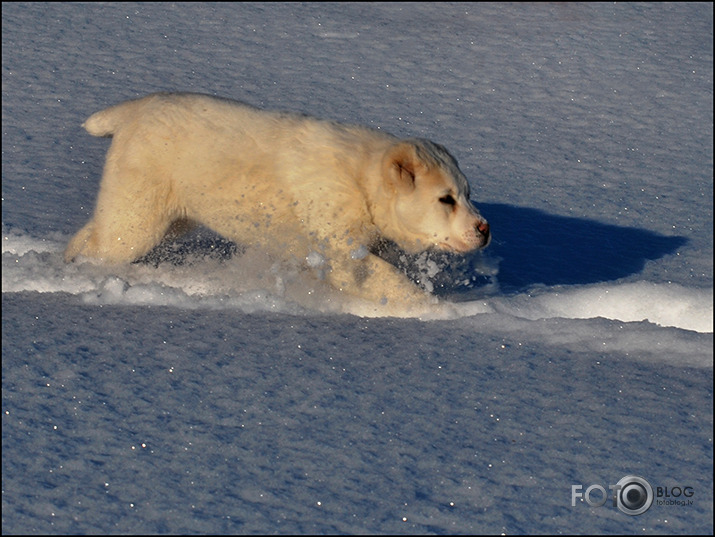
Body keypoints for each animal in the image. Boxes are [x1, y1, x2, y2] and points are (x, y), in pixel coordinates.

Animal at [67, 92, 490, 310]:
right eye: (445, 199)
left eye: (467, 195)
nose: (484, 229)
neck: (363, 182)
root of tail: (132, 111)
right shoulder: (340, 248)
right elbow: (390, 283)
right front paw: (443, 312)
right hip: (140, 215)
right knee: (105, 246)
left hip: (162, 216)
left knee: (91, 234)